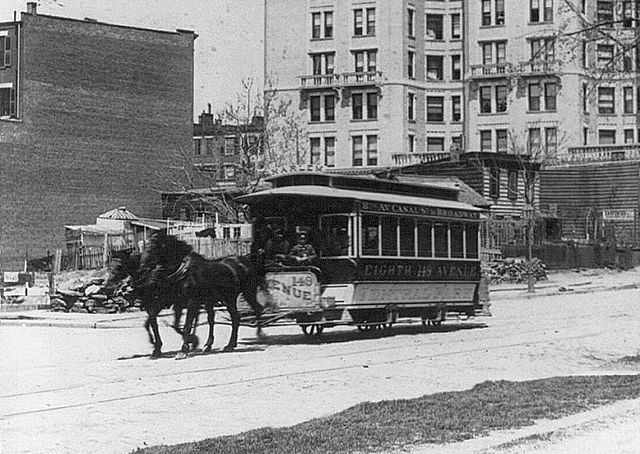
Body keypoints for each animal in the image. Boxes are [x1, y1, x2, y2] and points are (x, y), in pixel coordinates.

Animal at [139, 232, 264, 360]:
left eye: (154, 247)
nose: (142, 267)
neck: (184, 272)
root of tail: (245, 259)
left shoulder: (192, 302)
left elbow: (187, 325)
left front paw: (183, 350)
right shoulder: (178, 303)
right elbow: (177, 325)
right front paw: (193, 342)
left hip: (244, 294)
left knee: (250, 311)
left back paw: (255, 337)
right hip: (226, 299)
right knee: (231, 318)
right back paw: (222, 344)